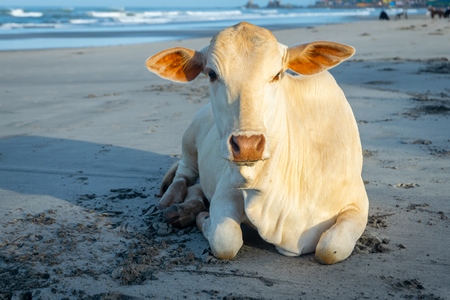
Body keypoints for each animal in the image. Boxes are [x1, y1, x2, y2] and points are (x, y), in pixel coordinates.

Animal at [148, 22, 370, 264]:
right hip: (189, 140)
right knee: (184, 175)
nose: (247, 145)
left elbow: (330, 249)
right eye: (212, 74)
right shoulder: (228, 188)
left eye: (277, 74)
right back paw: (171, 202)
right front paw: (203, 219)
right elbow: (225, 240)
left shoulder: (357, 202)